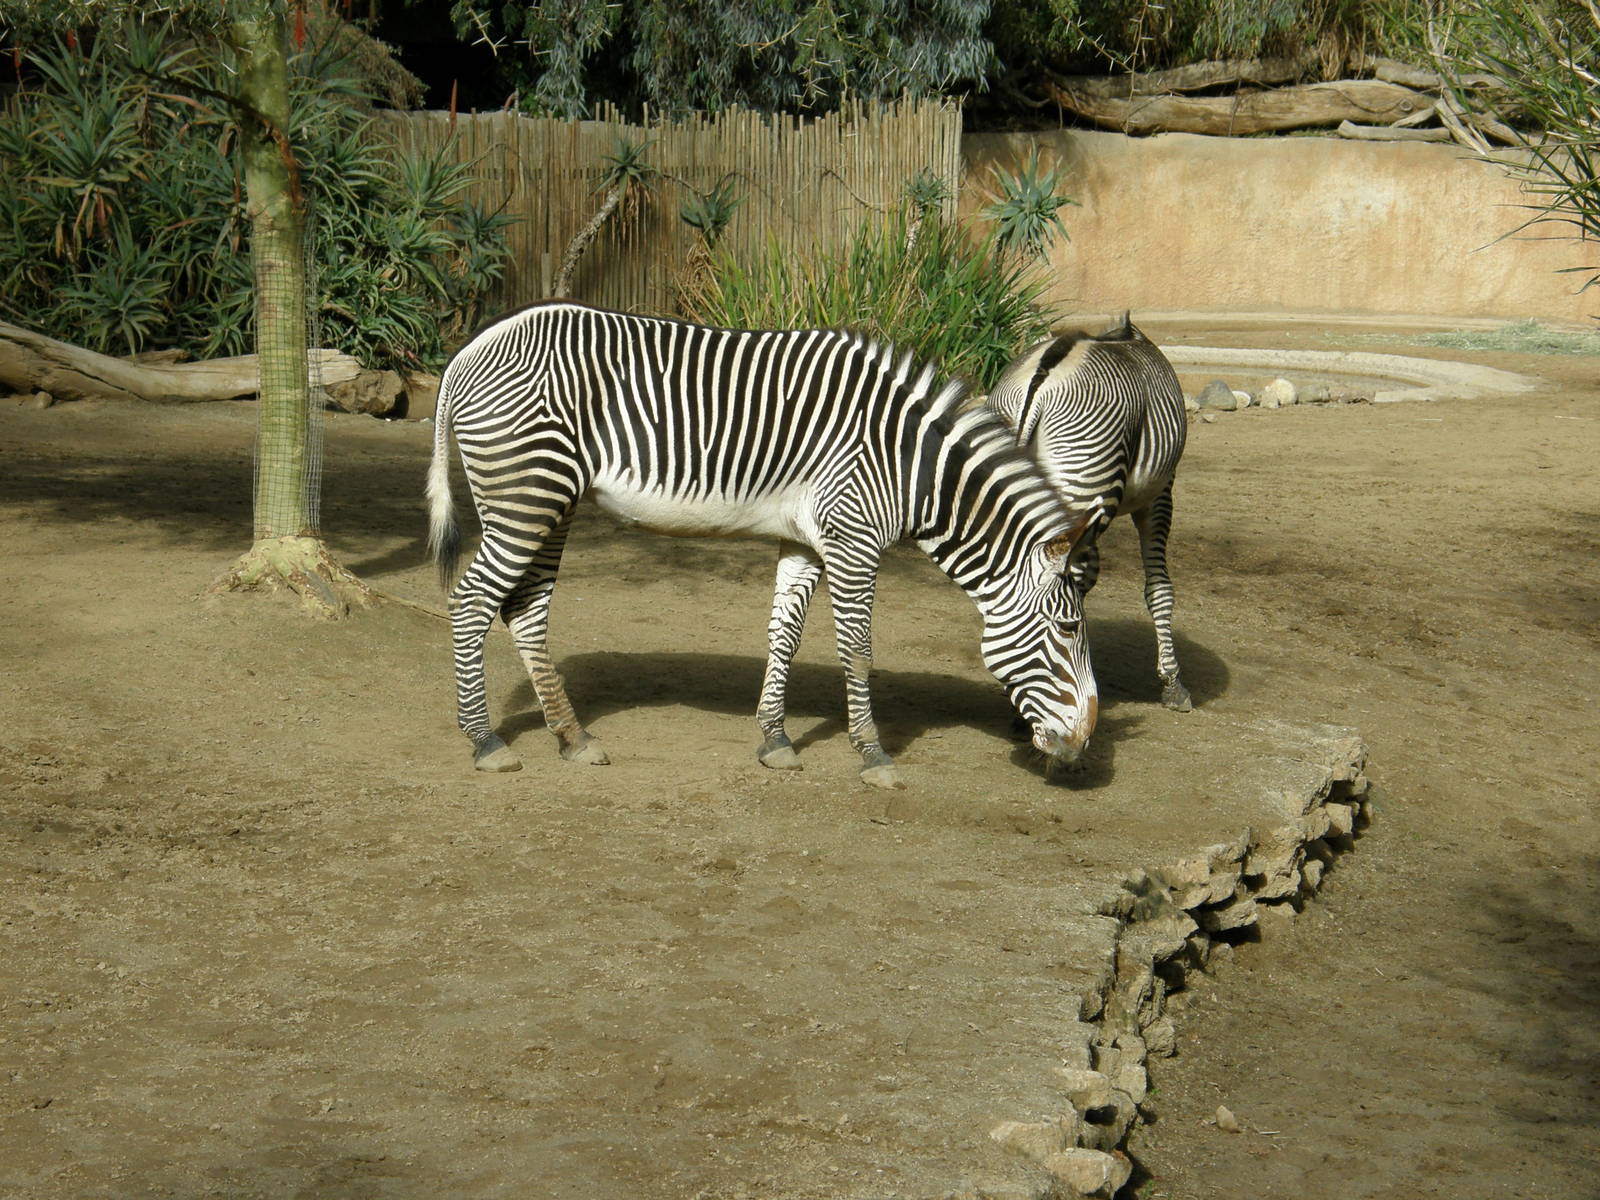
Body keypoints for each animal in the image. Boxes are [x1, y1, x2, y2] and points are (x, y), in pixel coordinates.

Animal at [426, 300, 1099, 788]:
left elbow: (785, 635)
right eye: (1067, 628)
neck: (911, 467)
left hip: (552, 502)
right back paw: (485, 742)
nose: (1083, 746)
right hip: (526, 497)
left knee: (524, 610)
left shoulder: (807, 542)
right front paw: (873, 754)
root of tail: (468, 351)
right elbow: (858, 648)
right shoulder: (854, 539)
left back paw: (573, 737)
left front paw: (775, 739)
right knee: (471, 603)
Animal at [985, 313, 1193, 712]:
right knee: (1070, 576)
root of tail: (1040, 381)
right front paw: (1173, 682)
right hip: (1085, 476)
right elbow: (1159, 587)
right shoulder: (1161, 494)